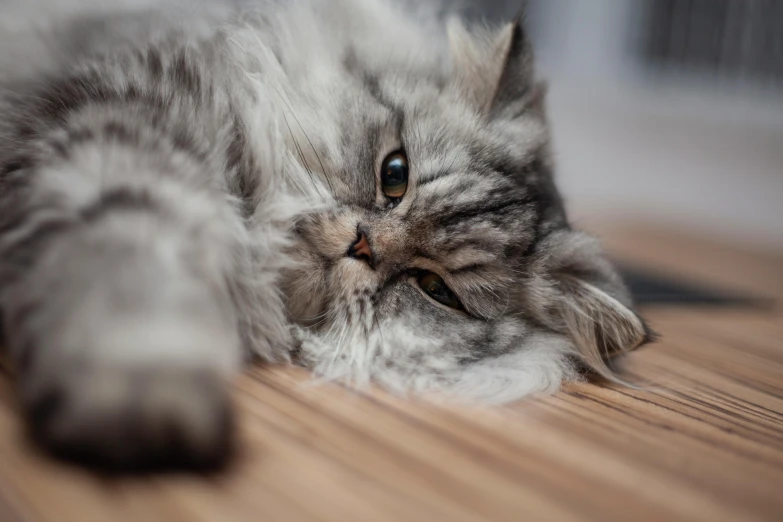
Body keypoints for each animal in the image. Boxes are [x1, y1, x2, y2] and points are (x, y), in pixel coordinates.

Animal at [0, 0, 652, 470]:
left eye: (435, 289)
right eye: (395, 175)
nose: (362, 245)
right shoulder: (120, 122)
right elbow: (134, 257)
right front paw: (143, 391)